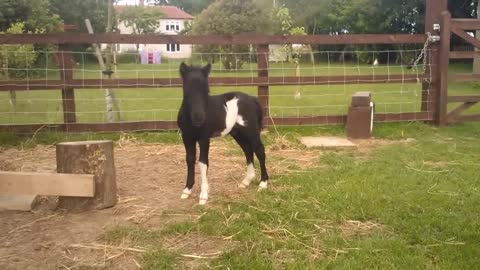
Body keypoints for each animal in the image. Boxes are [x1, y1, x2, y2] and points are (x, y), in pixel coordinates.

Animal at [177, 62, 268, 205]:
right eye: (187, 89)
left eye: (206, 90)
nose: (199, 117)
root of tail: (253, 99)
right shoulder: (187, 137)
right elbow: (190, 160)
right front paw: (187, 190)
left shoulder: (204, 138)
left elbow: (203, 162)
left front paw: (203, 196)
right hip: (237, 133)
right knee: (248, 150)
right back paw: (246, 181)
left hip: (251, 131)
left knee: (259, 151)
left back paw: (263, 184)